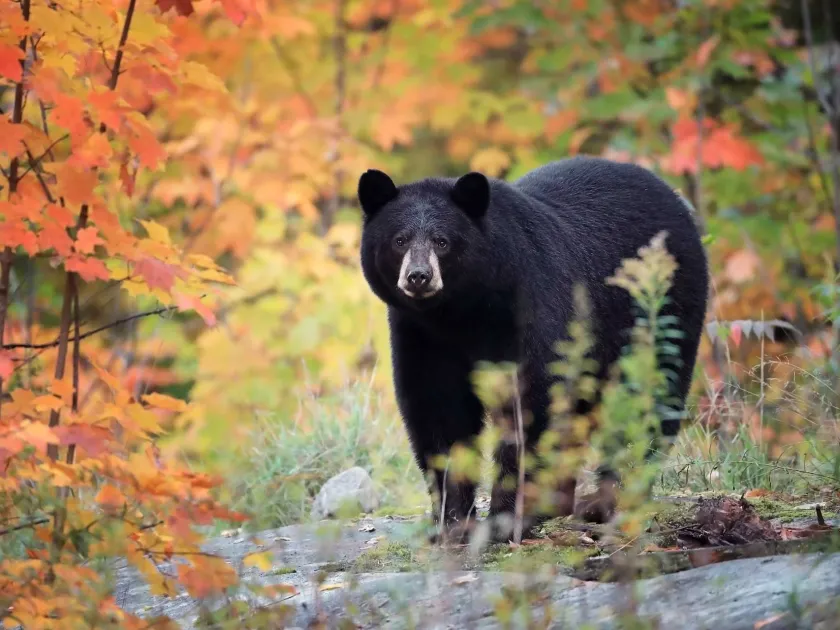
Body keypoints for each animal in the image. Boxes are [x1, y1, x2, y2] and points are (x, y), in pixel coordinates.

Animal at [357, 156, 709, 543]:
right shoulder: (421, 335)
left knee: (649, 396)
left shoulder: (534, 304)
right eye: (399, 240)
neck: (462, 311)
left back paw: (613, 499)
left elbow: (533, 401)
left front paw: (506, 518)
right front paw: (452, 521)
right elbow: (438, 409)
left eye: (442, 241)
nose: (419, 276)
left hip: (661, 310)